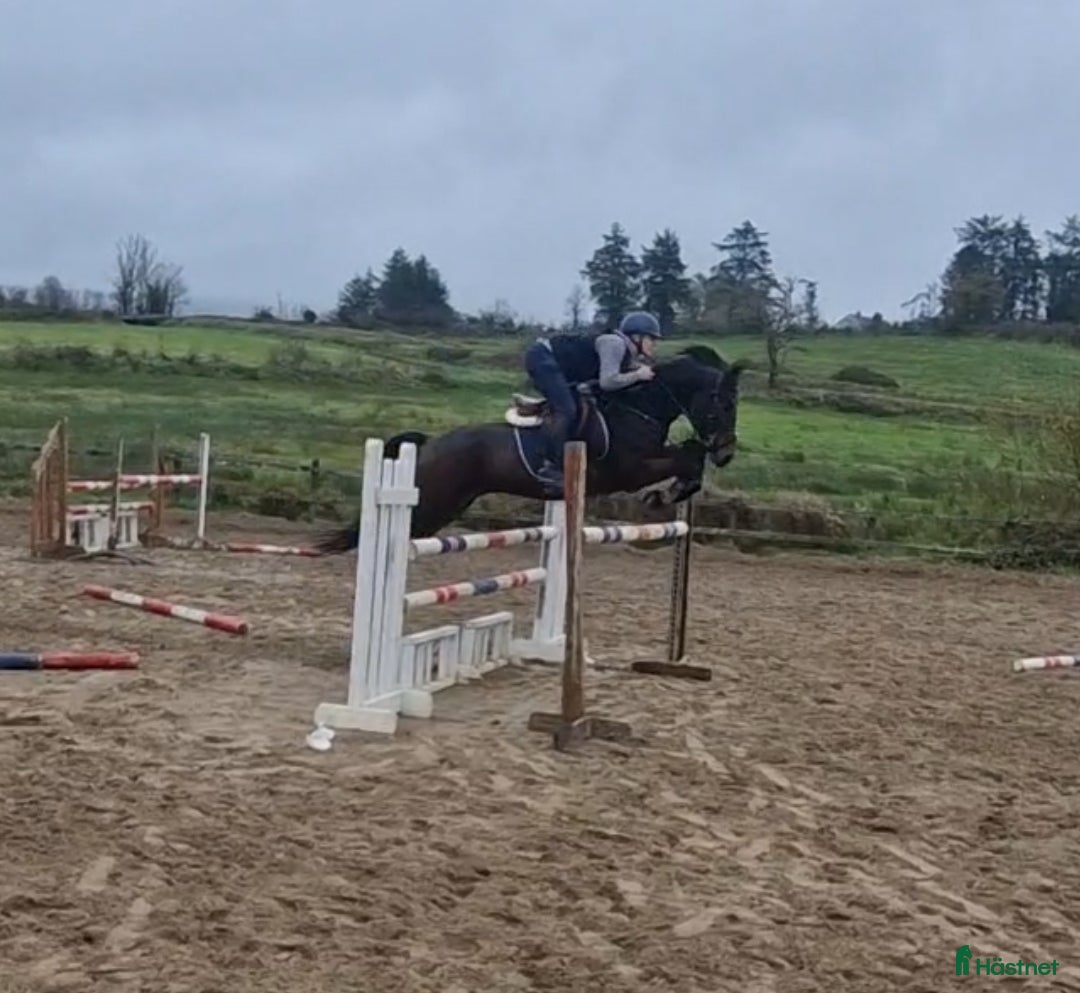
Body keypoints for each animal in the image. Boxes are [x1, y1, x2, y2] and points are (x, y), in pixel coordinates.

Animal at [313, 344, 746, 551]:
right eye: (722, 404)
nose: (726, 453)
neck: (638, 407)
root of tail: (431, 444)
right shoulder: (629, 469)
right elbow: (684, 458)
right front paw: (663, 495)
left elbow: (690, 456)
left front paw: (673, 491)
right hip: (433, 500)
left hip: (450, 504)